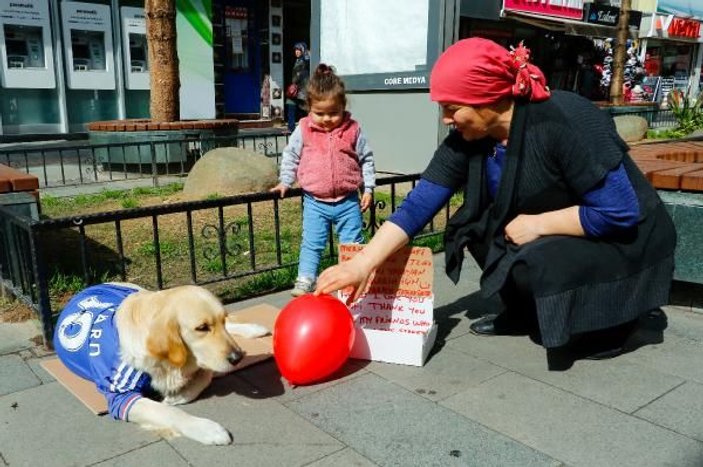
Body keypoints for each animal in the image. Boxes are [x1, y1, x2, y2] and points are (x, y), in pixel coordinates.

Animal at [53, 284, 268, 444]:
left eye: (221, 321)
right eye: (202, 328)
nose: (237, 357)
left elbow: (204, 377)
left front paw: (177, 396)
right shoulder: (121, 396)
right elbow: (167, 411)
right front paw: (207, 428)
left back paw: (255, 329)